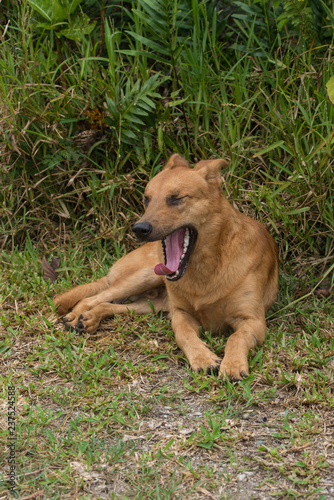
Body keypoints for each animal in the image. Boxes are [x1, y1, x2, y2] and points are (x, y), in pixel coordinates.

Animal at [54, 154, 280, 376]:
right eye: (146, 199)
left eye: (176, 198)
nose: (139, 229)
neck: (206, 267)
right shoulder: (180, 314)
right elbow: (184, 335)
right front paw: (203, 358)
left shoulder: (253, 320)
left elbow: (236, 337)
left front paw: (232, 364)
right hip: (144, 278)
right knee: (92, 298)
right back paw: (76, 316)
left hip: (154, 304)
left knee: (108, 304)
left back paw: (90, 318)